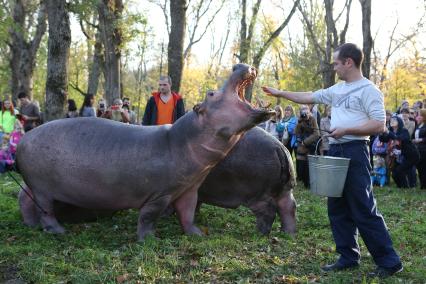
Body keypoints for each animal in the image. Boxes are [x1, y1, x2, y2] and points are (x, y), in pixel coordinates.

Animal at [17, 63, 272, 240]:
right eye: (211, 93)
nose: (238, 64)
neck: (181, 139)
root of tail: (23, 139)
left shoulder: (189, 189)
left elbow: (188, 214)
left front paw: (197, 234)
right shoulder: (160, 194)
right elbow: (149, 216)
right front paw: (149, 240)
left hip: (36, 186)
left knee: (26, 199)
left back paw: (30, 225)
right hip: (43, 188)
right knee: (45, 210)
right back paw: (57, 231)